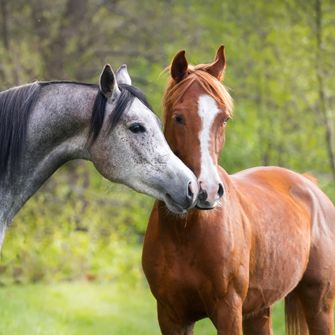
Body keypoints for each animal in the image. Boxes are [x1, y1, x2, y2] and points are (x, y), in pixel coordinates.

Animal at [142, 45, 335, 335]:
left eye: (224, 119)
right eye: (179, 117)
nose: (207, 191)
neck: (185, 233)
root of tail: (310, 187)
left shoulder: (228, 311)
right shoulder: (171, 316)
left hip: (319, 304)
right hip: (259, 311)